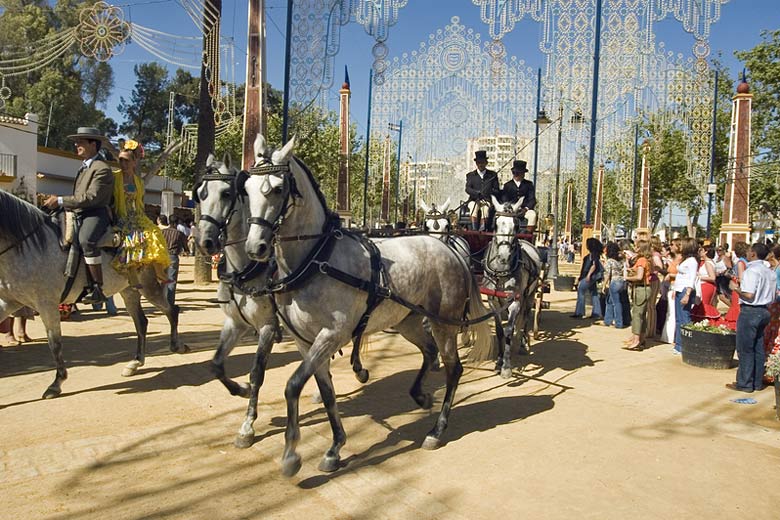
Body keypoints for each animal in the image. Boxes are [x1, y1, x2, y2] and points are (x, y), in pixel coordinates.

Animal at [0, 191, 184, 398]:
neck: (27, 245)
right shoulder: (9, 301)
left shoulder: (47, 303)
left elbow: (55, 343)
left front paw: (56, 383)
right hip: (129, 290)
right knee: (141, 323)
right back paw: (135, 363)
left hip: (148, 286)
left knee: (171, 310)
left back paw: (175, 345)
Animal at [482, 195, 544, 378]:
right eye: (495, 224)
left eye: (516, 225)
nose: (503, 256)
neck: (501, 272)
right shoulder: (493, 301)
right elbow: (499, 330)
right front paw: (499, 360)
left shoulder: (515, 301)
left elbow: (509, 329)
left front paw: (506, 366)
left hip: (530, 295)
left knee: (526, 316)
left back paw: (523, 343)